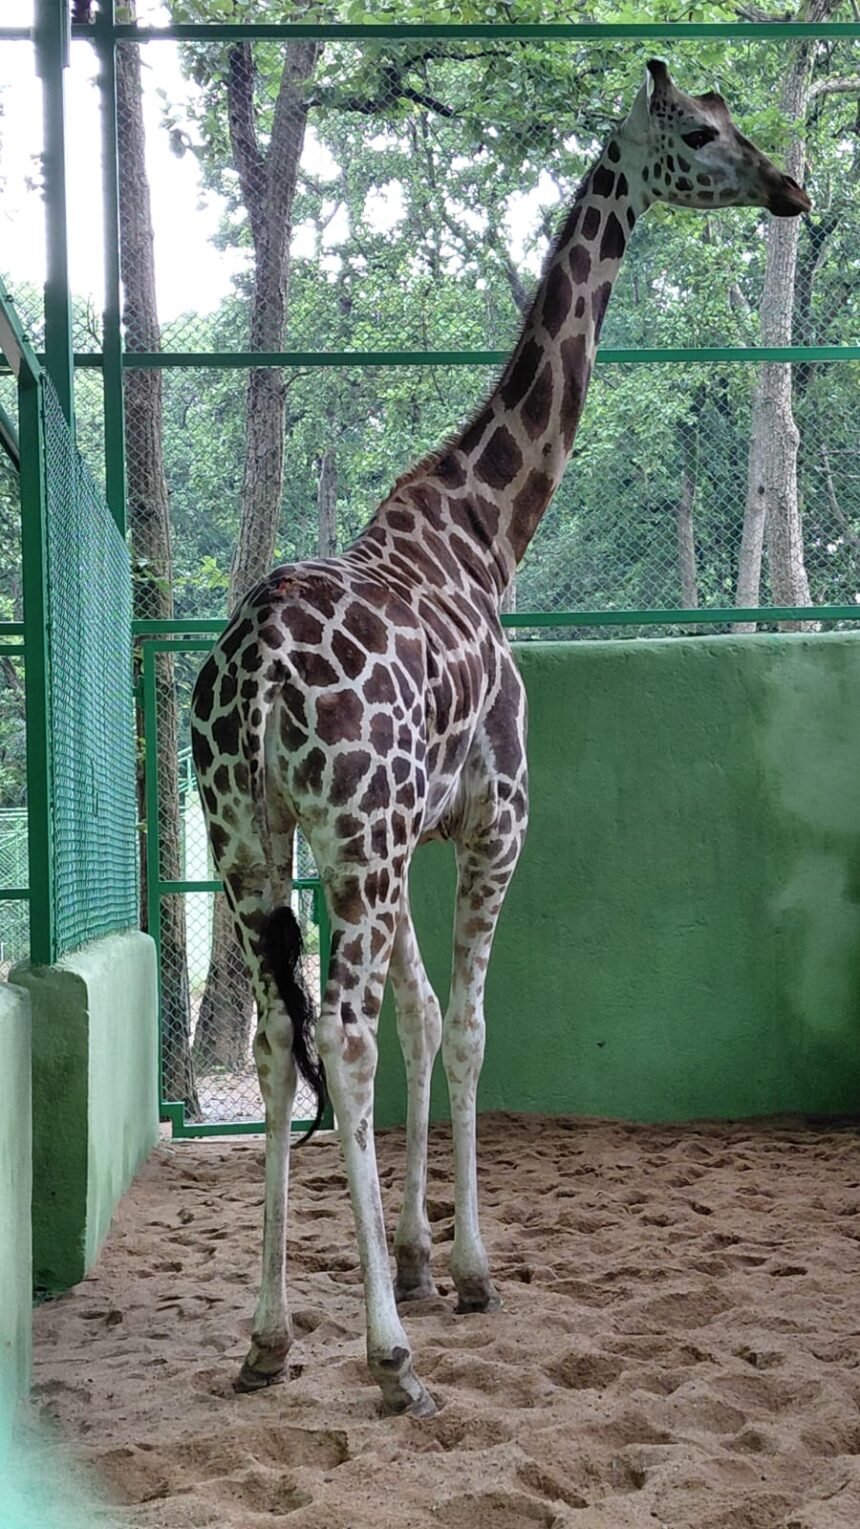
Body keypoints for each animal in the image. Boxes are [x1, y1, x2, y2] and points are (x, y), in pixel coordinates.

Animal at [190, 60, 809, 1418]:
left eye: (735, 122)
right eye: (701, 133)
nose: (789, 187)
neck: (487, 528)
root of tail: (250, 675)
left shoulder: (407, 832)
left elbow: (426, 1017)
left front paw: (424, 1254)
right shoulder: (495, 816)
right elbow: (468, 1024)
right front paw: (466, 1270)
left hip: (252, 839)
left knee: (278, 1041)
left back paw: (267, 1336)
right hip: (349, 838)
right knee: (343, 1039)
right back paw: (387, 1360)